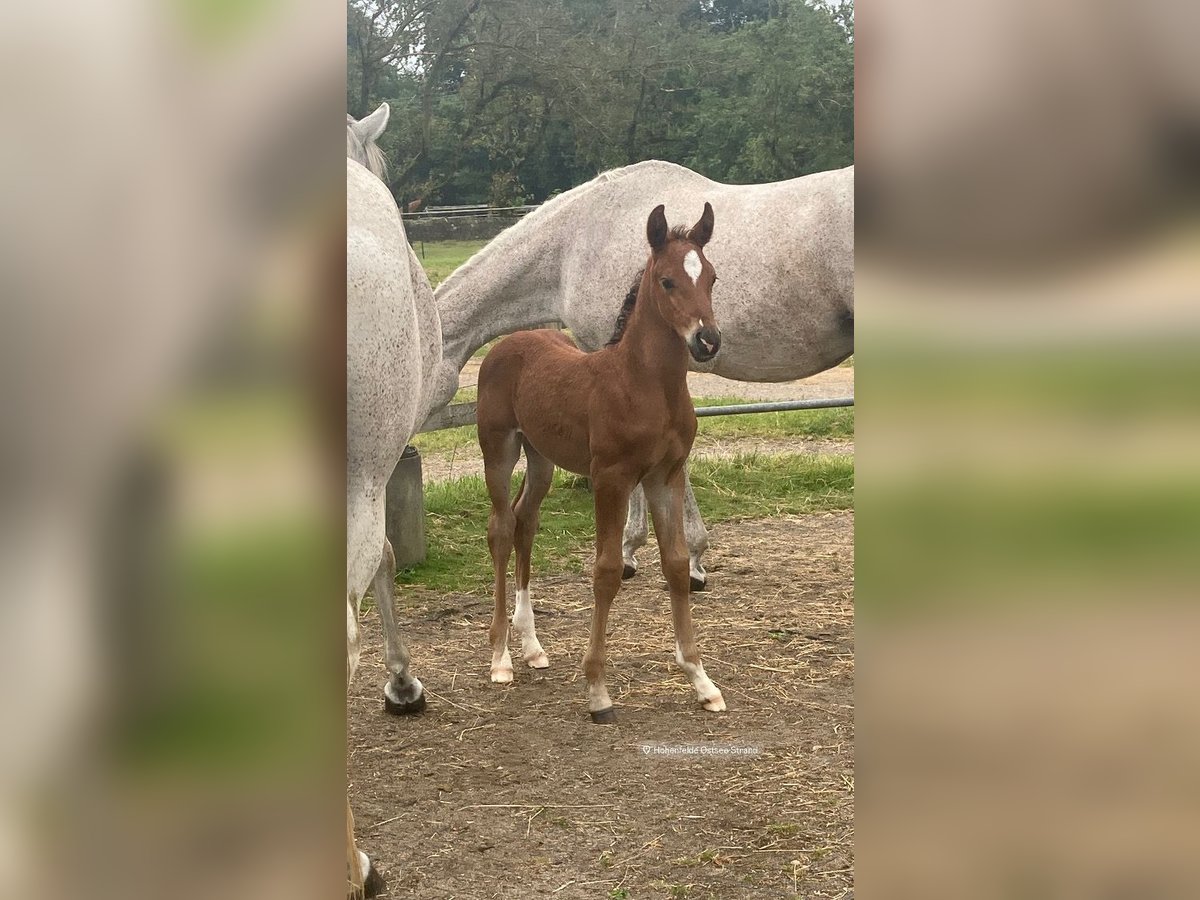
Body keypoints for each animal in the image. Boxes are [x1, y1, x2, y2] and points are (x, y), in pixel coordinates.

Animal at [475, 202, 720, 724]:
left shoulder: (665, 477)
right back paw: (501, 657)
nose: (708, 340)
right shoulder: (612, 479)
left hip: (542, 458)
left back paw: (532, 647)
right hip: (498, 449)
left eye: (711, 277)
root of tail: (509, 342)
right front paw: (597, 691)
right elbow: (606, 572)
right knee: (501, 528)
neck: (644, 385)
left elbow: (675, 564)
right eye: (667, 281)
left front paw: (702, 682)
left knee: (526, 521)